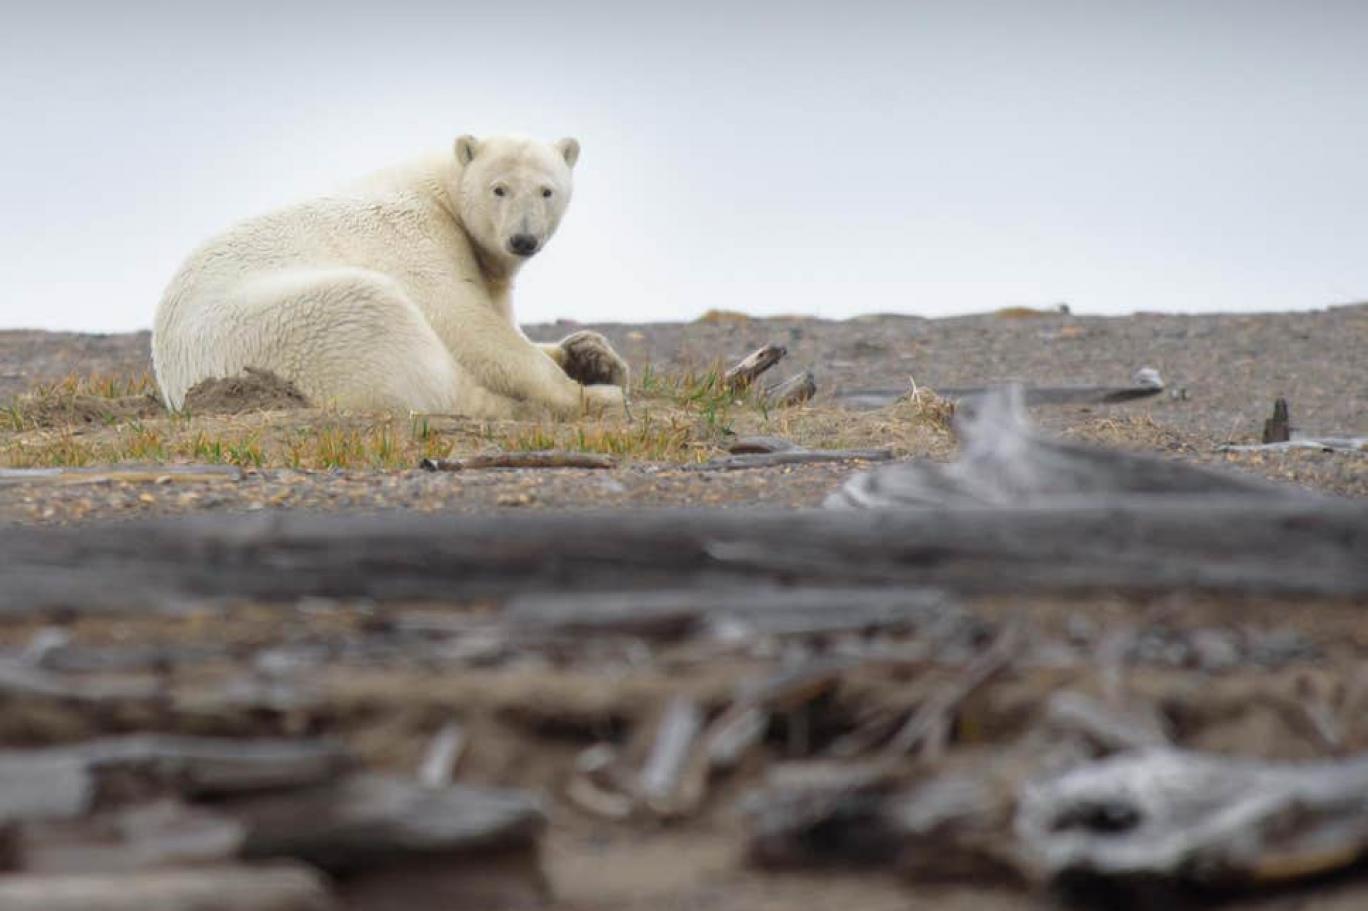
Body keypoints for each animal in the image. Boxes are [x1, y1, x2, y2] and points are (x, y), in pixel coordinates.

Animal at [152, 134, 629, 419]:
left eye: (547, 190)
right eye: (500, 189)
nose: (523, 239)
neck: (442, 193)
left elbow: (502, 319)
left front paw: (592, 354)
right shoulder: (419, 237)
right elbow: (469, 326)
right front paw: (585, 387)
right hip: (288, 327)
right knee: (403, 345)